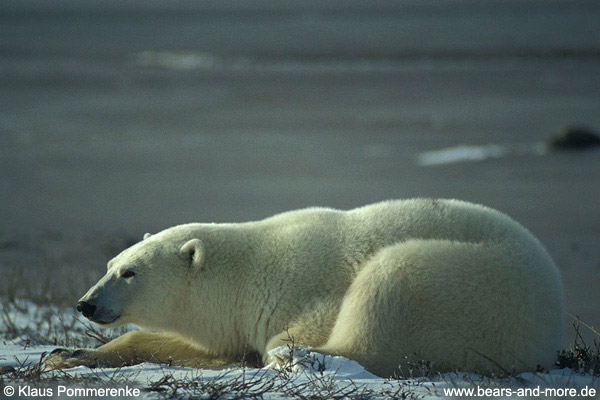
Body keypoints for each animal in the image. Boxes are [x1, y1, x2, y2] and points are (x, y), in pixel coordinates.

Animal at [45, 200, 564, 378]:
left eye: (130, 272)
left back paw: (299, 358)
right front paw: (65, 355)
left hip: (476, 285)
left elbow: (277, 335)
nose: (86, 303)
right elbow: (203, 346)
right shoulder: (231, 321)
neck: (248, 272)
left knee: (390, 282)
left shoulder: (298, 292)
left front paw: (282, 352)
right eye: (110, 264)